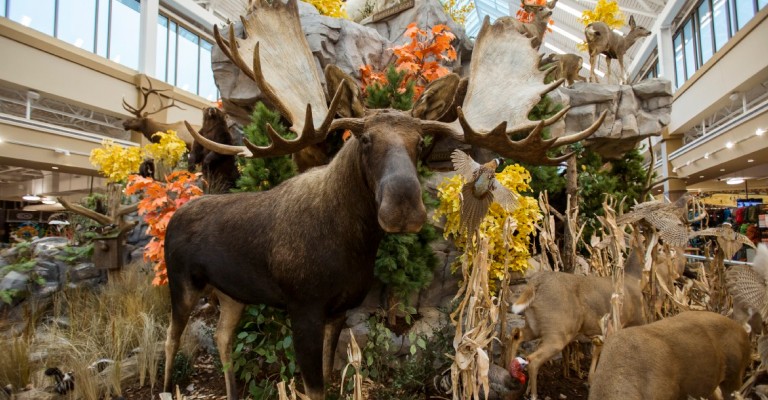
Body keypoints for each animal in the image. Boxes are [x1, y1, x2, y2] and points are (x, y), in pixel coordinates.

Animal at [164, 0, 608, 400]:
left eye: (420, 142)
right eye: (364, 139)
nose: (403, 208)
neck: (351, 247)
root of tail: (176, 215)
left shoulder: (339, 310)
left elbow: (330, 381)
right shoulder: (303, 307)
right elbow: (313, 389)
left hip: (230, 293)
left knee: (223, 338)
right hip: (181, 283)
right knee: (172, 338)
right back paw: (167, 387)